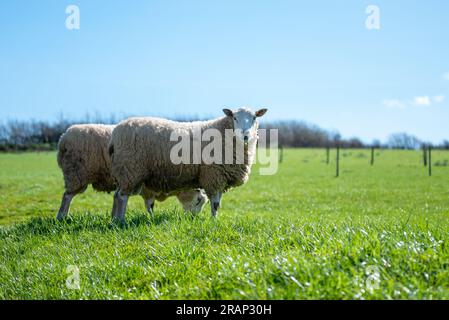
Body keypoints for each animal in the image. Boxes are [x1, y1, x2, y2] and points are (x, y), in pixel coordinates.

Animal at [56, 123, 208, 220]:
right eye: (198, 201)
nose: (193, 218)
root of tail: (62, 138)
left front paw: (113, 216)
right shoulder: (146, 187)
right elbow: (149, 205)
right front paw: (151, 217)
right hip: (77, 173)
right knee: (67, 196)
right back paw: (62, 217)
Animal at [109, 107, 266, 222]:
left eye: (254, 118)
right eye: (234, 117)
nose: (245, 135)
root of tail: (115, 133)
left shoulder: (220, 178)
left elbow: (217, 203)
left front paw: (215, 220)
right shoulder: (213, 175)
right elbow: (215, 204)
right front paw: (214, 221)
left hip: (127, 171)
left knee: (117, 195)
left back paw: (114, 220)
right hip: (130, 169)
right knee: (122, 196)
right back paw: (121, 221)